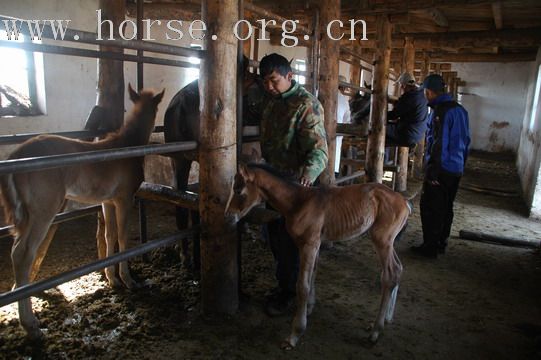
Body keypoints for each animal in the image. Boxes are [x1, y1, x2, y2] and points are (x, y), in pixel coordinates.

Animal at [225, 163, 410, 348]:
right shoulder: (315, 245)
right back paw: (386, 319)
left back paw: (376, 330)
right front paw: (308, 309)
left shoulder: (309, 244)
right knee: (399, 269)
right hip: (388, 242)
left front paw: (295, 333)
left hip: (382, 240)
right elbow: (313, 275)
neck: (298, 203)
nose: (228, 217)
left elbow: (302, 285)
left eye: (238, 190)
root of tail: (405, 202)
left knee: (390, 273)